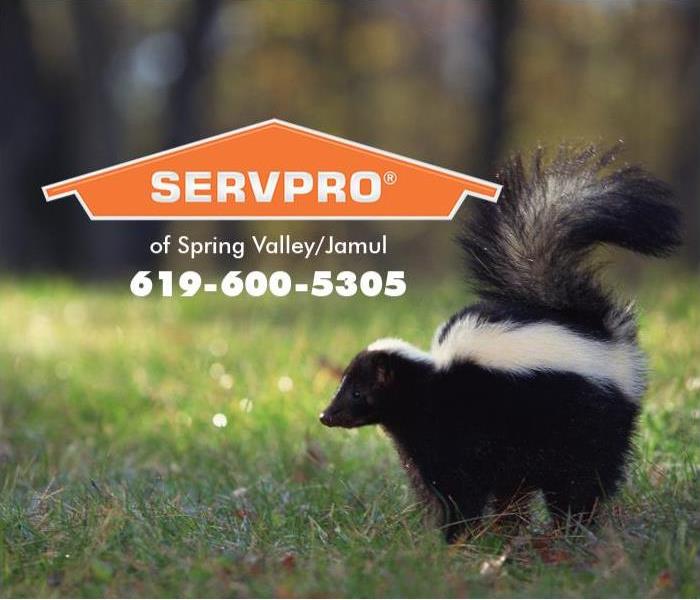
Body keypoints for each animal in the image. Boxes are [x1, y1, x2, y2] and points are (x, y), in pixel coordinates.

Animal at [320, 148, 680, 540]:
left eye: (358, 392)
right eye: (342, 386)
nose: (326, 415)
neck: (428, 384)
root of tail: (598, 329)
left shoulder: (456, 436)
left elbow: (460, 491)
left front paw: (454, 538)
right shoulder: (426, 448)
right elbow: (435, 490)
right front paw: (437, 536)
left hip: (585, 425)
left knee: (581, 482)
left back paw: (572, 529)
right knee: (525, 489)